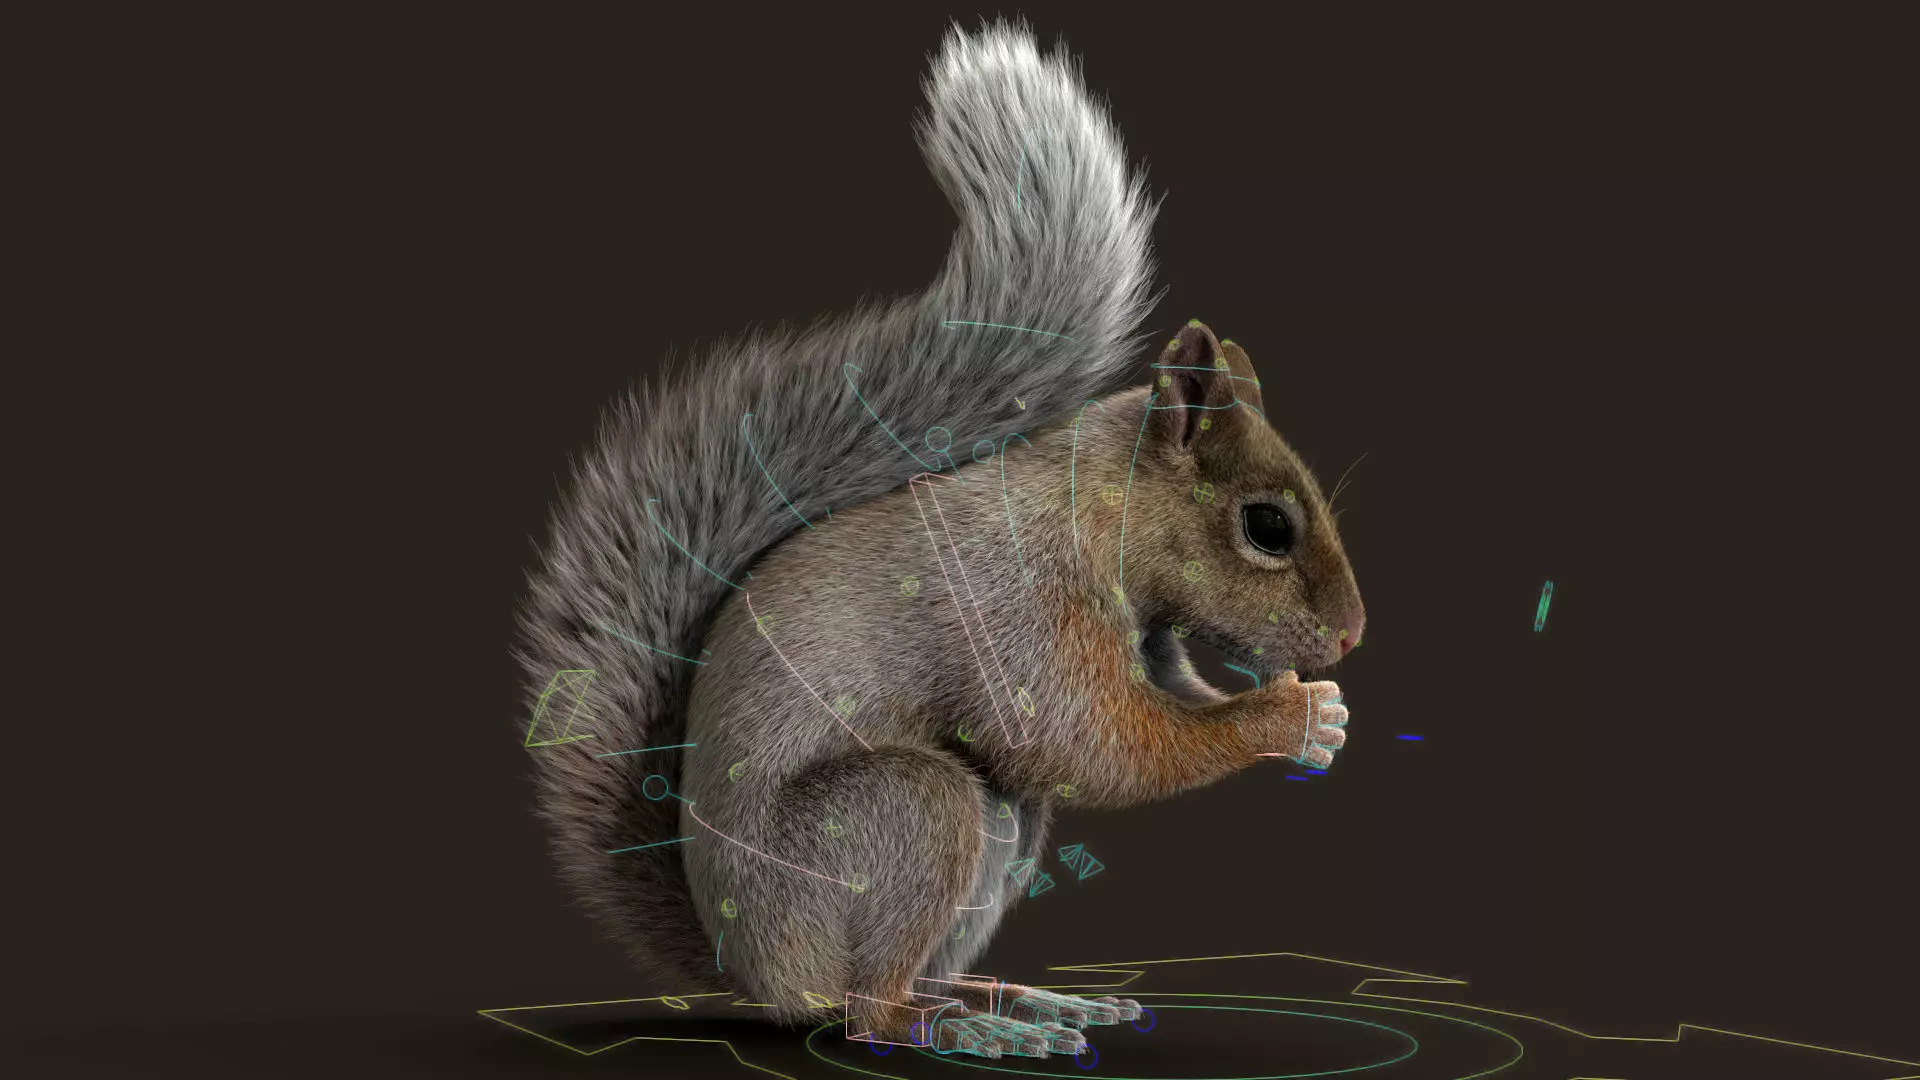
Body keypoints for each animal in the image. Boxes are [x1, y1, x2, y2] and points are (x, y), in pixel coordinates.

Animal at [514, 20, 1365, 1061]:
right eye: (1267, 526)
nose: (1351, 637)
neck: (1096, 515)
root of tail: (749, 969)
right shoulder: (1024, 617)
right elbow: (1103, 747)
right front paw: (1289, 717)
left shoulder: (1151, 636)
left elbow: (1168, 703)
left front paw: (1317, 713)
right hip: (907, 817)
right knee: (866, 1010)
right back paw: (965, 1030)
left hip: (1003, 835)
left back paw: (1019, 1001)